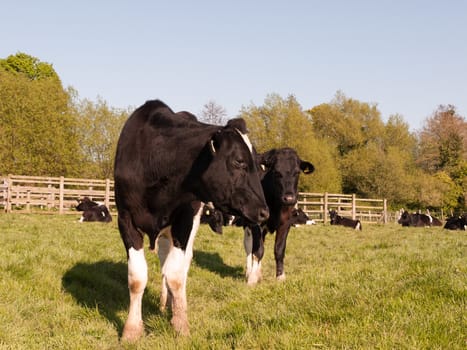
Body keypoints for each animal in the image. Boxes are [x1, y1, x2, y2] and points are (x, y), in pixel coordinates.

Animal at [113, 100, 268, 340]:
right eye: (239, 161)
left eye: (258, 166)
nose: (264, 212)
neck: (156, 160)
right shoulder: (126, 220)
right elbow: (137, 278)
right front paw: (131, 330)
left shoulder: (185, 219)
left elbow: (176, 275)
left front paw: (180, 324)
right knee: (164, 261)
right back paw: (164, 302)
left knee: (181, 265)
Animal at [241, 147, 314, 284]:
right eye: (276, 172)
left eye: (297, 172)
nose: (289, 198)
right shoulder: (257, 224)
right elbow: (258, 251)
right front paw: (252, 279)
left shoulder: (286, 223)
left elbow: (279, 249)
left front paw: (280, 276)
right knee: (248, 245)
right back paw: (250, 271)